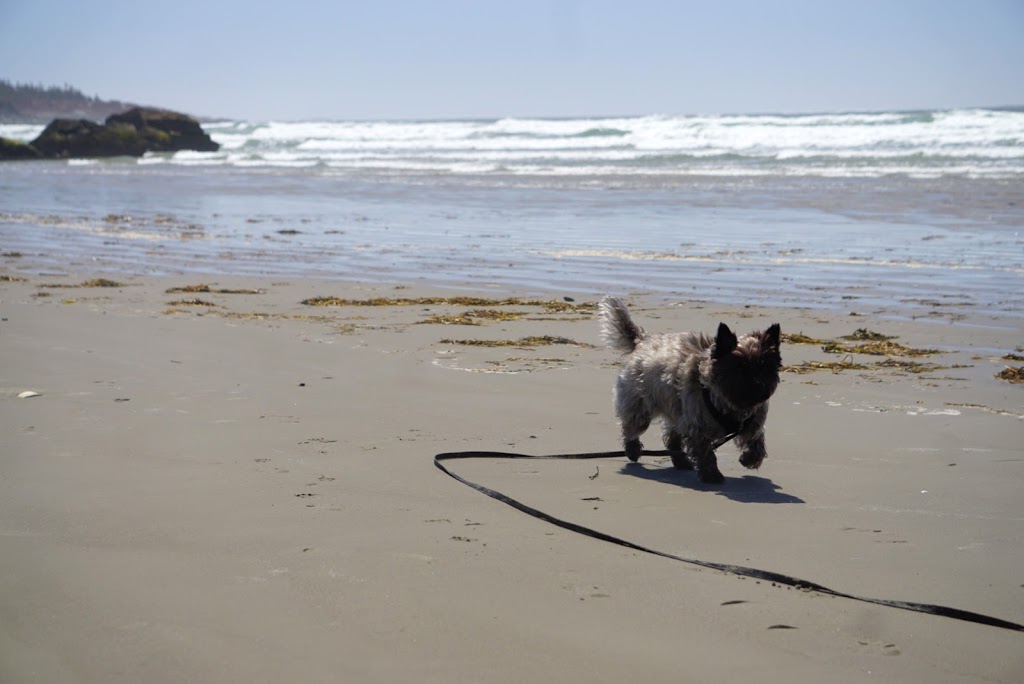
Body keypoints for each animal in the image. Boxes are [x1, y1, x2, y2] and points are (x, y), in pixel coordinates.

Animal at [598, 296, 778, 483]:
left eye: (765, 366)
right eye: (739, 367)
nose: (759, 384)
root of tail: (641, 340)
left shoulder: (753, 422)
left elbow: (756, 441)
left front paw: (749, 458)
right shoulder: (697, 427)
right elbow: (706, 453)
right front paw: (711, 475)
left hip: (675, 411)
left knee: (672, 439)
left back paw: (681, 461)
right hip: (640, 407)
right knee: (630, 428)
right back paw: (633, 450)